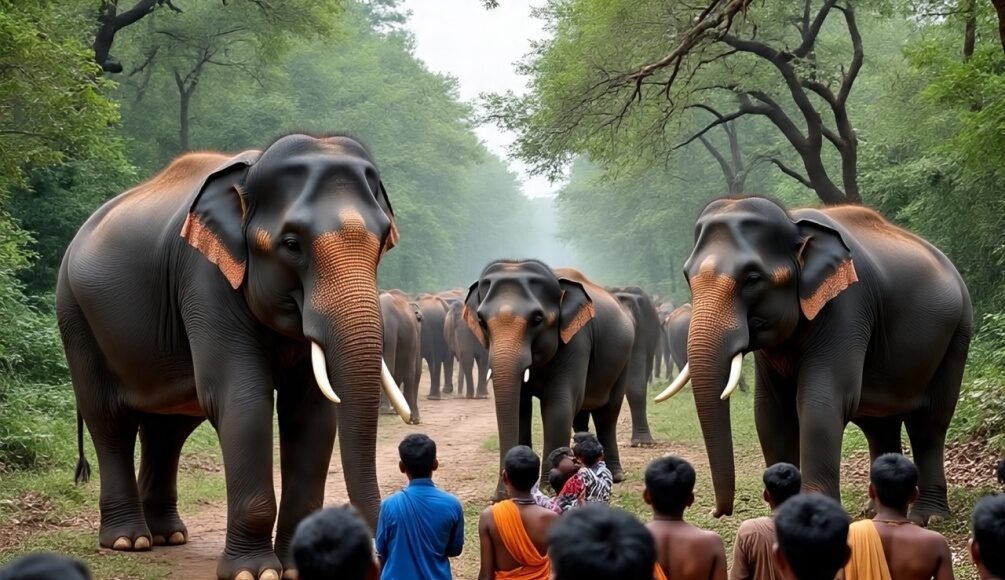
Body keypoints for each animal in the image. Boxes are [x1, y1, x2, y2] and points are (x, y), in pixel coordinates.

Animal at [56, 134, 412, 580]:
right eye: (291, 245)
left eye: (382, 242)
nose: (378, 560)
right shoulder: (204, 277)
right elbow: (242, 400)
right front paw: (254, 572)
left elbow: (310, 413)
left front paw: (295, 567)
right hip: (75, 315)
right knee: (108, 419)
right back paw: (129, 541)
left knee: (167, 428)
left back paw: (168, 535)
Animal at [463, 260, 634, 496]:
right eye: (481, 320)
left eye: (537, 319)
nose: (501, 494)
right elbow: (521, 407)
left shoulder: (577, 339)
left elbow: (557, 406)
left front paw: (548, 486)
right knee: (580, 413)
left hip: (624, 358)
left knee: (608, 412)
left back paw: (615, 474)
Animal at [654, 197, 972, 524]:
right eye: (687, 277)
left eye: (752, 279)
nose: (717, 512)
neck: (794, 222)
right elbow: (770, 413)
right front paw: (780, 514)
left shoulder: (848, 306)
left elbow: (820, 404)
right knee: (879, 424)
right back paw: (874, 511)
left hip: (957, 332)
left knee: (929, 422)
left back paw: (930, 517)